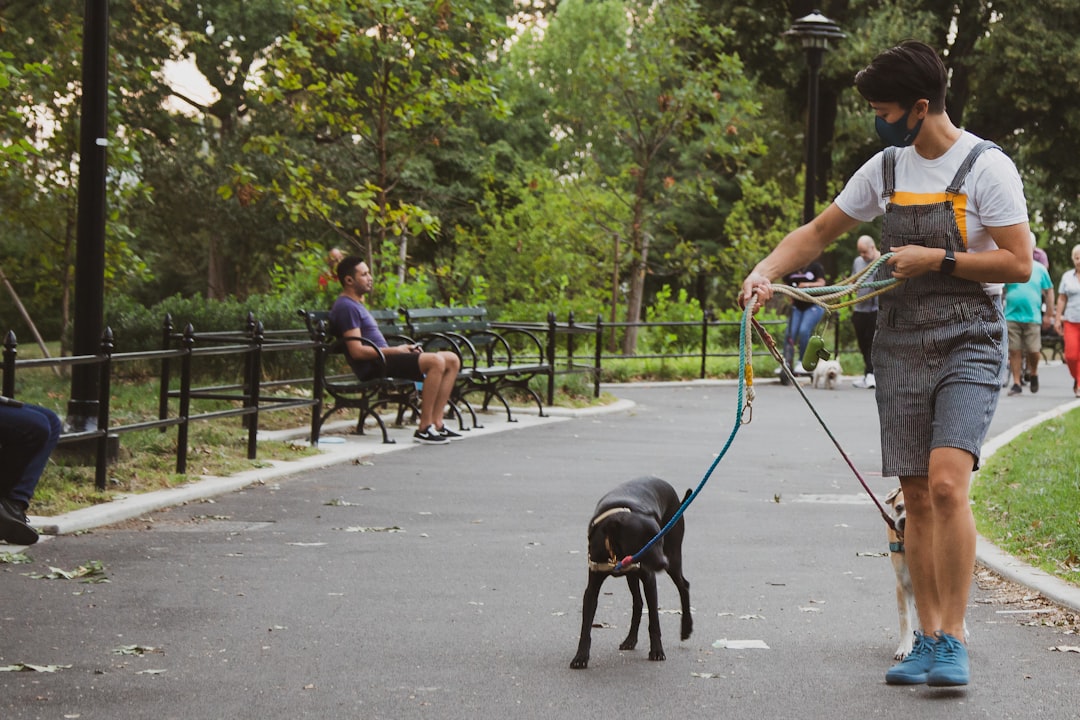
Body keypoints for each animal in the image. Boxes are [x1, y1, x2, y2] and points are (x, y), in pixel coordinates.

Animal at [574, 479, 691, 669]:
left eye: (660, 539)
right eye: (643, 542)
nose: (663, 562)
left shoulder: (650, 580)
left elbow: (654, 621)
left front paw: (657, 651)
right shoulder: (592, 588)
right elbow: (586, 626)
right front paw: (580, 657)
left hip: (673, 559)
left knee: (684, 586)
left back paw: (687, 627)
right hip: (633, 576)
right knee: (638, 602)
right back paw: (630, 640)